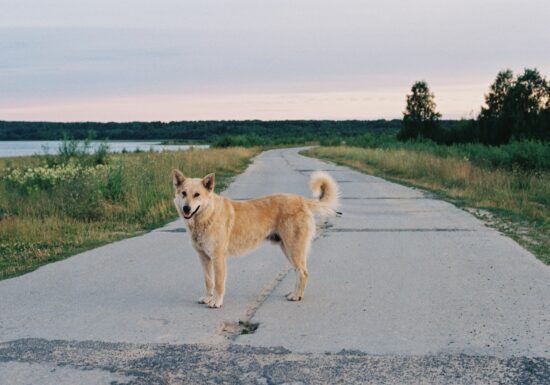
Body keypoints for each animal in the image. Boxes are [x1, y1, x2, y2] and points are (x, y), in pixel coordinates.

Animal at [174, 170, 340, 308]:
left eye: (197, 194)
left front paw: (216, 301)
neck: (207, 215)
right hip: (288, 250)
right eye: (183, 193)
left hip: (294, 249)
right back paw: (294, 293)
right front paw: (208, 298)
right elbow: (209, 281)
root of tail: (301, 200)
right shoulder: (204, 258)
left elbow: (219, 284)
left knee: (304, 273)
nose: (186, 208)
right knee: (299, 273)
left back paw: (297, 296)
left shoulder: (218, 258)